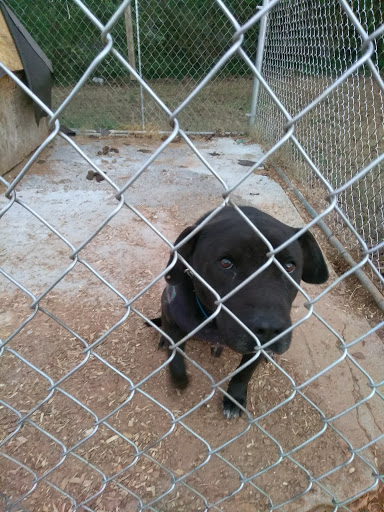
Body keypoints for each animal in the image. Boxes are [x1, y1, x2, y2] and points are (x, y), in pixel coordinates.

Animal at [152, 206, 328, 418]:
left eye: (289, 266)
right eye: (225, 263)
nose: (269, 330)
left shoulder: (255, 352)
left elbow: (245, 372)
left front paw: (234, 398)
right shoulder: (171, 312)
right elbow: (175, 355)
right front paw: (180, 379)